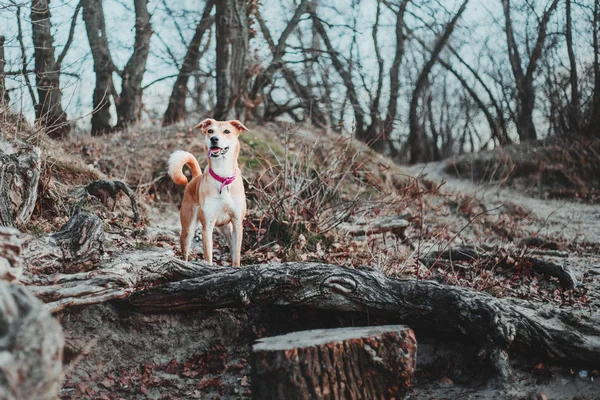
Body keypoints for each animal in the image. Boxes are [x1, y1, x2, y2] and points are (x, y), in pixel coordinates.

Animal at [168, 118, 247, 266]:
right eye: (210, 131)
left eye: (227, 131)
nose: (213, 139)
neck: (223, 177)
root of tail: (195, 177)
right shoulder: (207, 226)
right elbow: (208, 257)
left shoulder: (237, 223)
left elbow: (236, 258)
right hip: (188, 229)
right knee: (185, 252)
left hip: (228, 230)